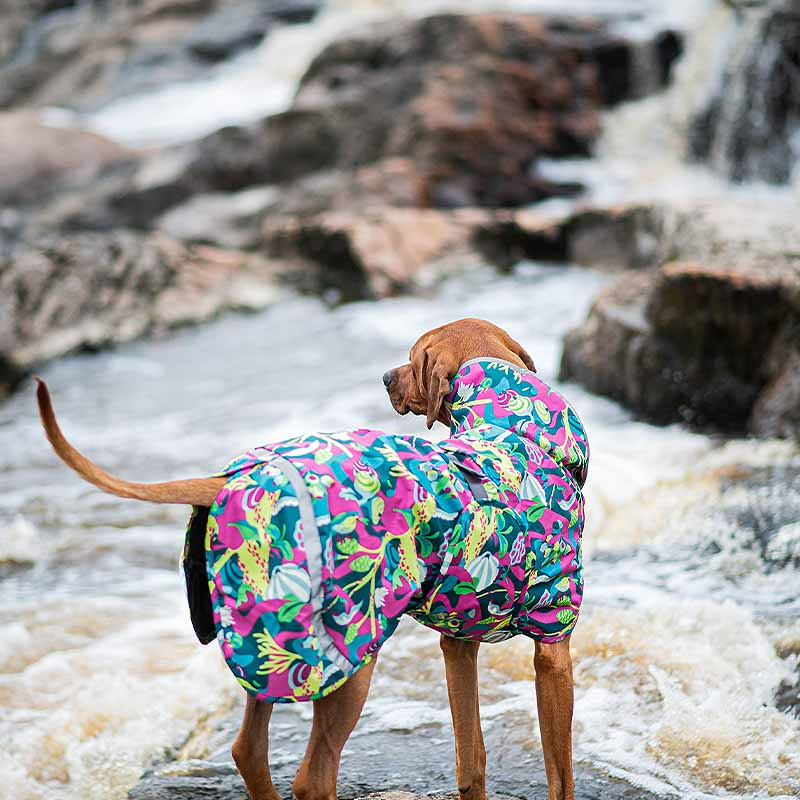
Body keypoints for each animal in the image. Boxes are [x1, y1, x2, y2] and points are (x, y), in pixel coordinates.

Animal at [36, 318, 588, 800]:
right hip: (349, 658)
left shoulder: (459, 642)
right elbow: (560, 774)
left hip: (267, 641)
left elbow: (471, 761)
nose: (385, 377)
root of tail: (236, 478)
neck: (511, 428)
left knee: (248, 751)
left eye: (411, 361)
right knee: (311, 779)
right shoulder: (553, 647)